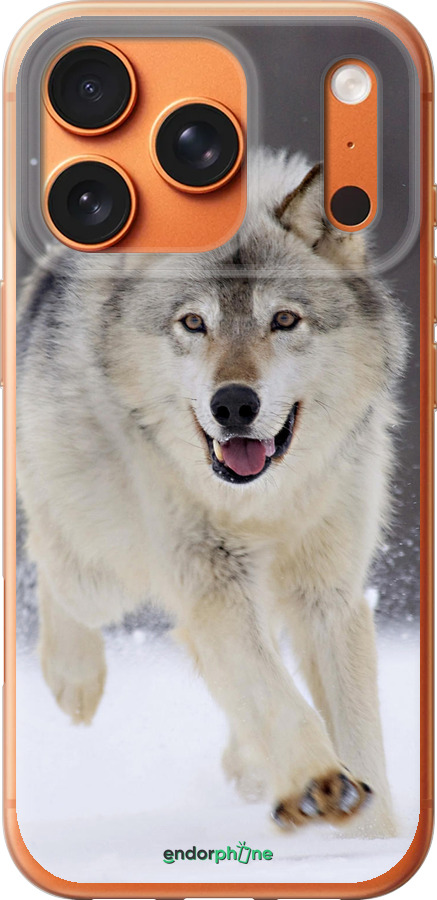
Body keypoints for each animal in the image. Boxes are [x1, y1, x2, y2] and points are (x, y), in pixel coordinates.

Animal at [17, 149, 406, 837]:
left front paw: (372, 839)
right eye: (194, 323)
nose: (233, 405)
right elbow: (274, 694)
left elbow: (357, 732)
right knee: (50, 561)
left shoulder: (328, 594)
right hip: (104, 571)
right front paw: (319, 783)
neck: (265, 503)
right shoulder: (211, 581)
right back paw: (74, 680)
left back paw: (248, 766)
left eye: (284, 320)